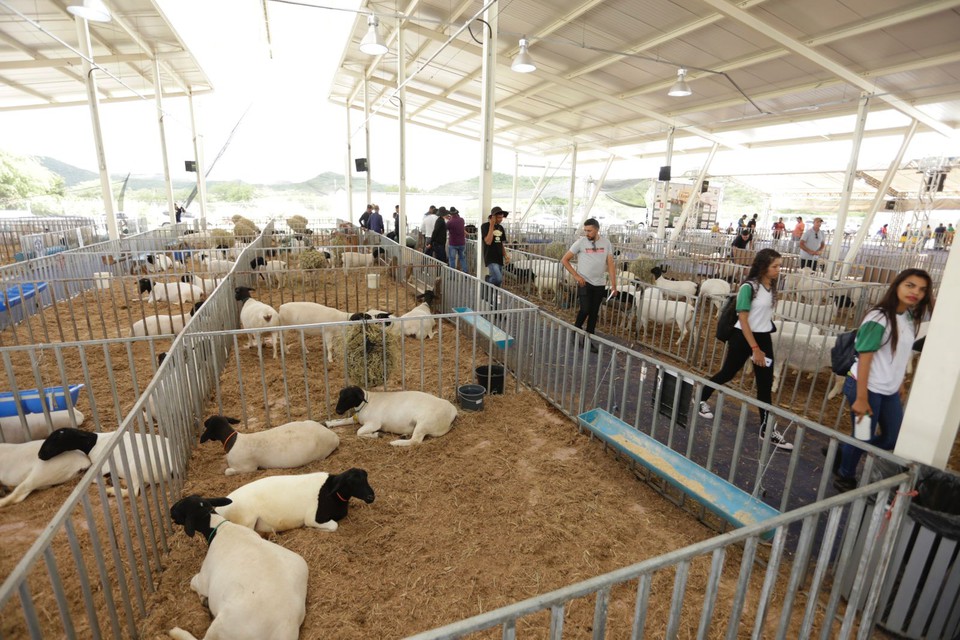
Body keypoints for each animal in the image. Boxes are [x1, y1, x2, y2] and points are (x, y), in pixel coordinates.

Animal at [169, 496, 308, 640]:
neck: (220, 528)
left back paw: (176, 631)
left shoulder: (203, 579)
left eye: (181, 505)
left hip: (222, 626)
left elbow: (192, 583)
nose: (170, 510)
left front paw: (203, 598)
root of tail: (286, 625)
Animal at [214, 468, 376, 532]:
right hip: (246, 520)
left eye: (366, 478)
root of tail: (220, 509)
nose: (371, 497)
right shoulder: (312, 518)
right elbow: (333, 525)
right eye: (351, 482)